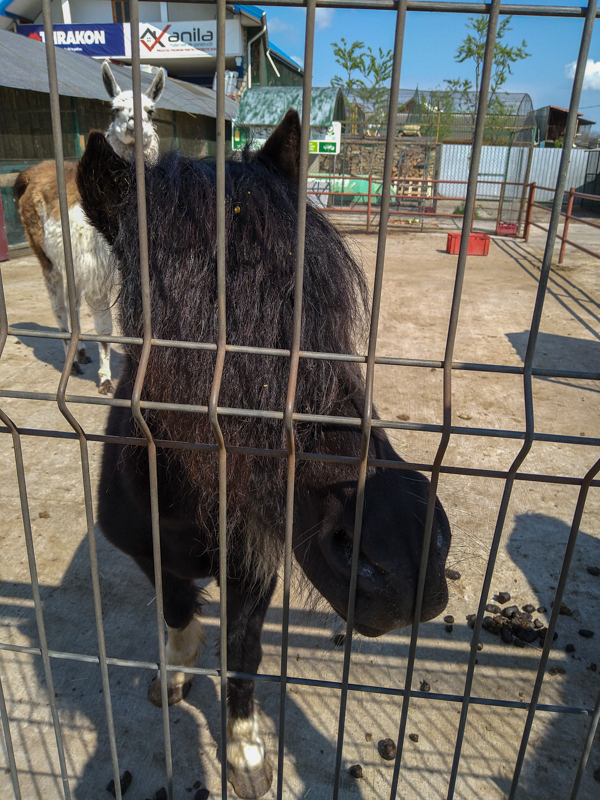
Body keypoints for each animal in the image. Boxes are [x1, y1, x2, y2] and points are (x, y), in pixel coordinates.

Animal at [76, 109, 451, 799]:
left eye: (324, 308)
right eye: (171, 338)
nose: (401, 551)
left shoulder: (255, 565)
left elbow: (242, 653)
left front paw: (245, 753)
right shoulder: (147, 551)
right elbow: (177, 613)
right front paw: (175, 674)